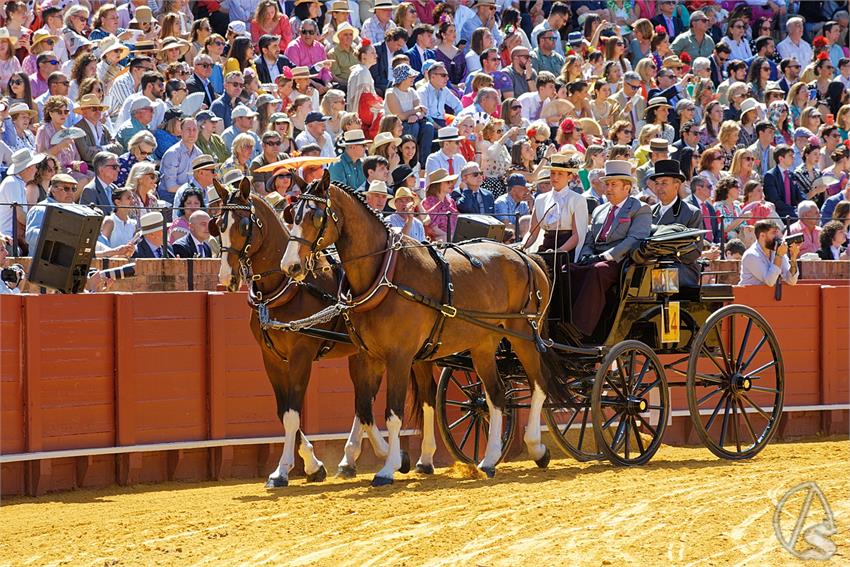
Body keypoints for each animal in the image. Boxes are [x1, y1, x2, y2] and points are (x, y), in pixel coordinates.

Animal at [211, 179, 404, 488]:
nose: (225, 278)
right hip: (363, 354)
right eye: (218, 224)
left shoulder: (301, 355)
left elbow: (293, 413)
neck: (286, 288)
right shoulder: (271, 359)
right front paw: (312, 466)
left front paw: (283, 471)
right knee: (364, 403)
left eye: (243, 225)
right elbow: (284, 411)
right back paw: (353, 459)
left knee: (365, 403)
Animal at [280, 172, 568, 484]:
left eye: (315, 215)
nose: (290, 265)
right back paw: (490, 459)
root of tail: (525, 255)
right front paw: (397, 459)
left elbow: (392, 413)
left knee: (538, 385)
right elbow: (366, 409)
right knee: (496, 396)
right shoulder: (369, 357)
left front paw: (388, 467)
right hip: (484, 345)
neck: (386, 275)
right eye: (292, 215)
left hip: (524, 334)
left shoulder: (400, 357)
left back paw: (536, 447)